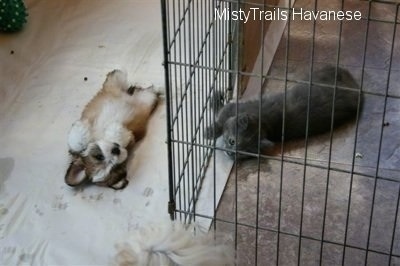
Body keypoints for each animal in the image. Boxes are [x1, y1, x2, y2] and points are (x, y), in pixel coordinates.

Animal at [206, 65, 362, 159]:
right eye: (232, 141)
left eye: (243, 153)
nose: (230, 153)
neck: (264, 121)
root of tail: (356, 87)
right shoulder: (233, 108)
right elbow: (221, 118)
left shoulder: (232, 107)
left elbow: (221, 114)